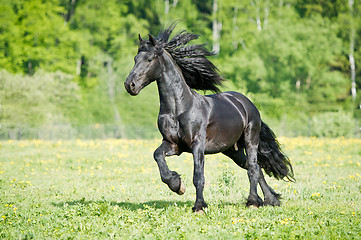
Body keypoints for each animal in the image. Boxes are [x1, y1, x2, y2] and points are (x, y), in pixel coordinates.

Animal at [124, 23, 292, 213]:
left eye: (149, 59)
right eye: (136, 58)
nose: (130, 85)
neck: (179, 108)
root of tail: (247, 104)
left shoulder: (197, 145)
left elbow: (198, 176)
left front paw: (199, 206)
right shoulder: (173, 144)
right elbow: (157, 156)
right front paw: (177, 185)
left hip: (250, 141)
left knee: (253, 169)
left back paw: (253, 202)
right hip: (232, 150)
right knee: (255, 167)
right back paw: (270, 199)